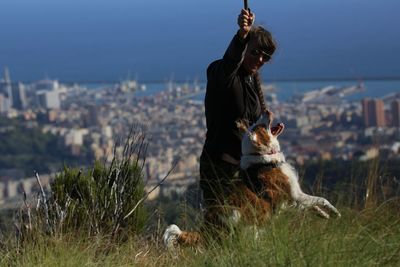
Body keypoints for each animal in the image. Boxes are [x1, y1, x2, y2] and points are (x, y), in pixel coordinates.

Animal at [162, 110, 340, 250]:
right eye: (258, 126)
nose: (266, 110)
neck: (264, 159)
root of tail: (206, 227)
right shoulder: (295, 195)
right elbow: (321, 199)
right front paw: (334, 212)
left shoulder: (294, 199)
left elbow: (312, 205)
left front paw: (323, 214)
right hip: (247, 229)